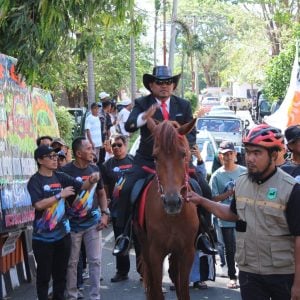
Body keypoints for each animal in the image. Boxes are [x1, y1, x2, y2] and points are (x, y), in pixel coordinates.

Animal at [136, 118, 199, 298]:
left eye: (183, 154)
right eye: (155, 157)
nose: (172, 202)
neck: (173, 218)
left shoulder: (187, 252)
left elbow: (184, 290)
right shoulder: (155, 254)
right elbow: (157, 290)